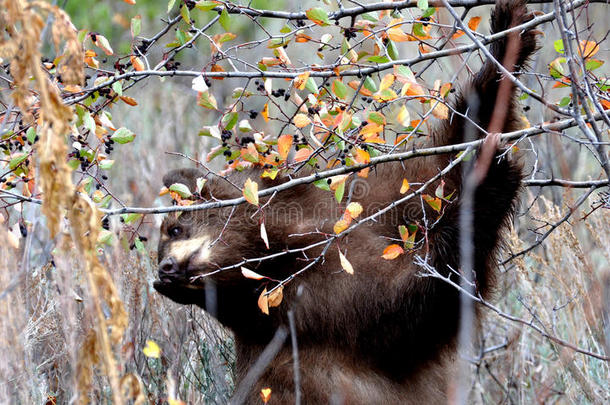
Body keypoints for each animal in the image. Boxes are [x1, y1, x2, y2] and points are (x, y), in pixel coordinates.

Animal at [153, 1, 536, 402]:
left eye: (174, 229)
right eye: (165, 241)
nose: (165, 272)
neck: (283, 236)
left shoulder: (363, 203)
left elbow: (440, 163)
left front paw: (509, 36)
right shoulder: (311, 300)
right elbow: (408, 307)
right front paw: (493, 177)